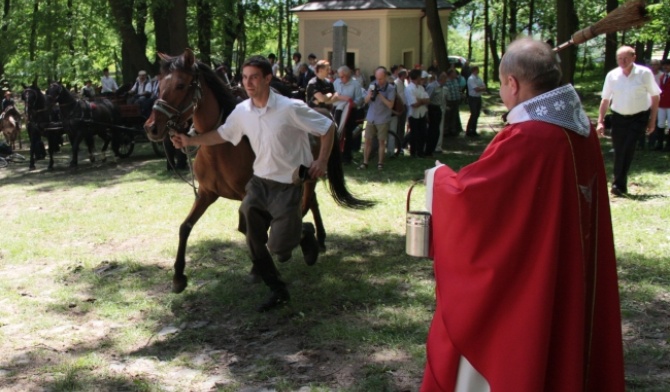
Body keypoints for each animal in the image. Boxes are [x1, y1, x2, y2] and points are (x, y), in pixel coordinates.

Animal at [145, 49, 376, 294]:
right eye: (160, 84)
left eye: (180, 84)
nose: (152, 127)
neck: (222, 145)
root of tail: (322, 112)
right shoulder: (207, 193)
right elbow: (186, 227)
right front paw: (178, 277)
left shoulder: (249, 195)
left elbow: (252, 230)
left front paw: (258, 268)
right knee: (310, 202)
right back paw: (318, 240)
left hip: (308, 176)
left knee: (304, 206)